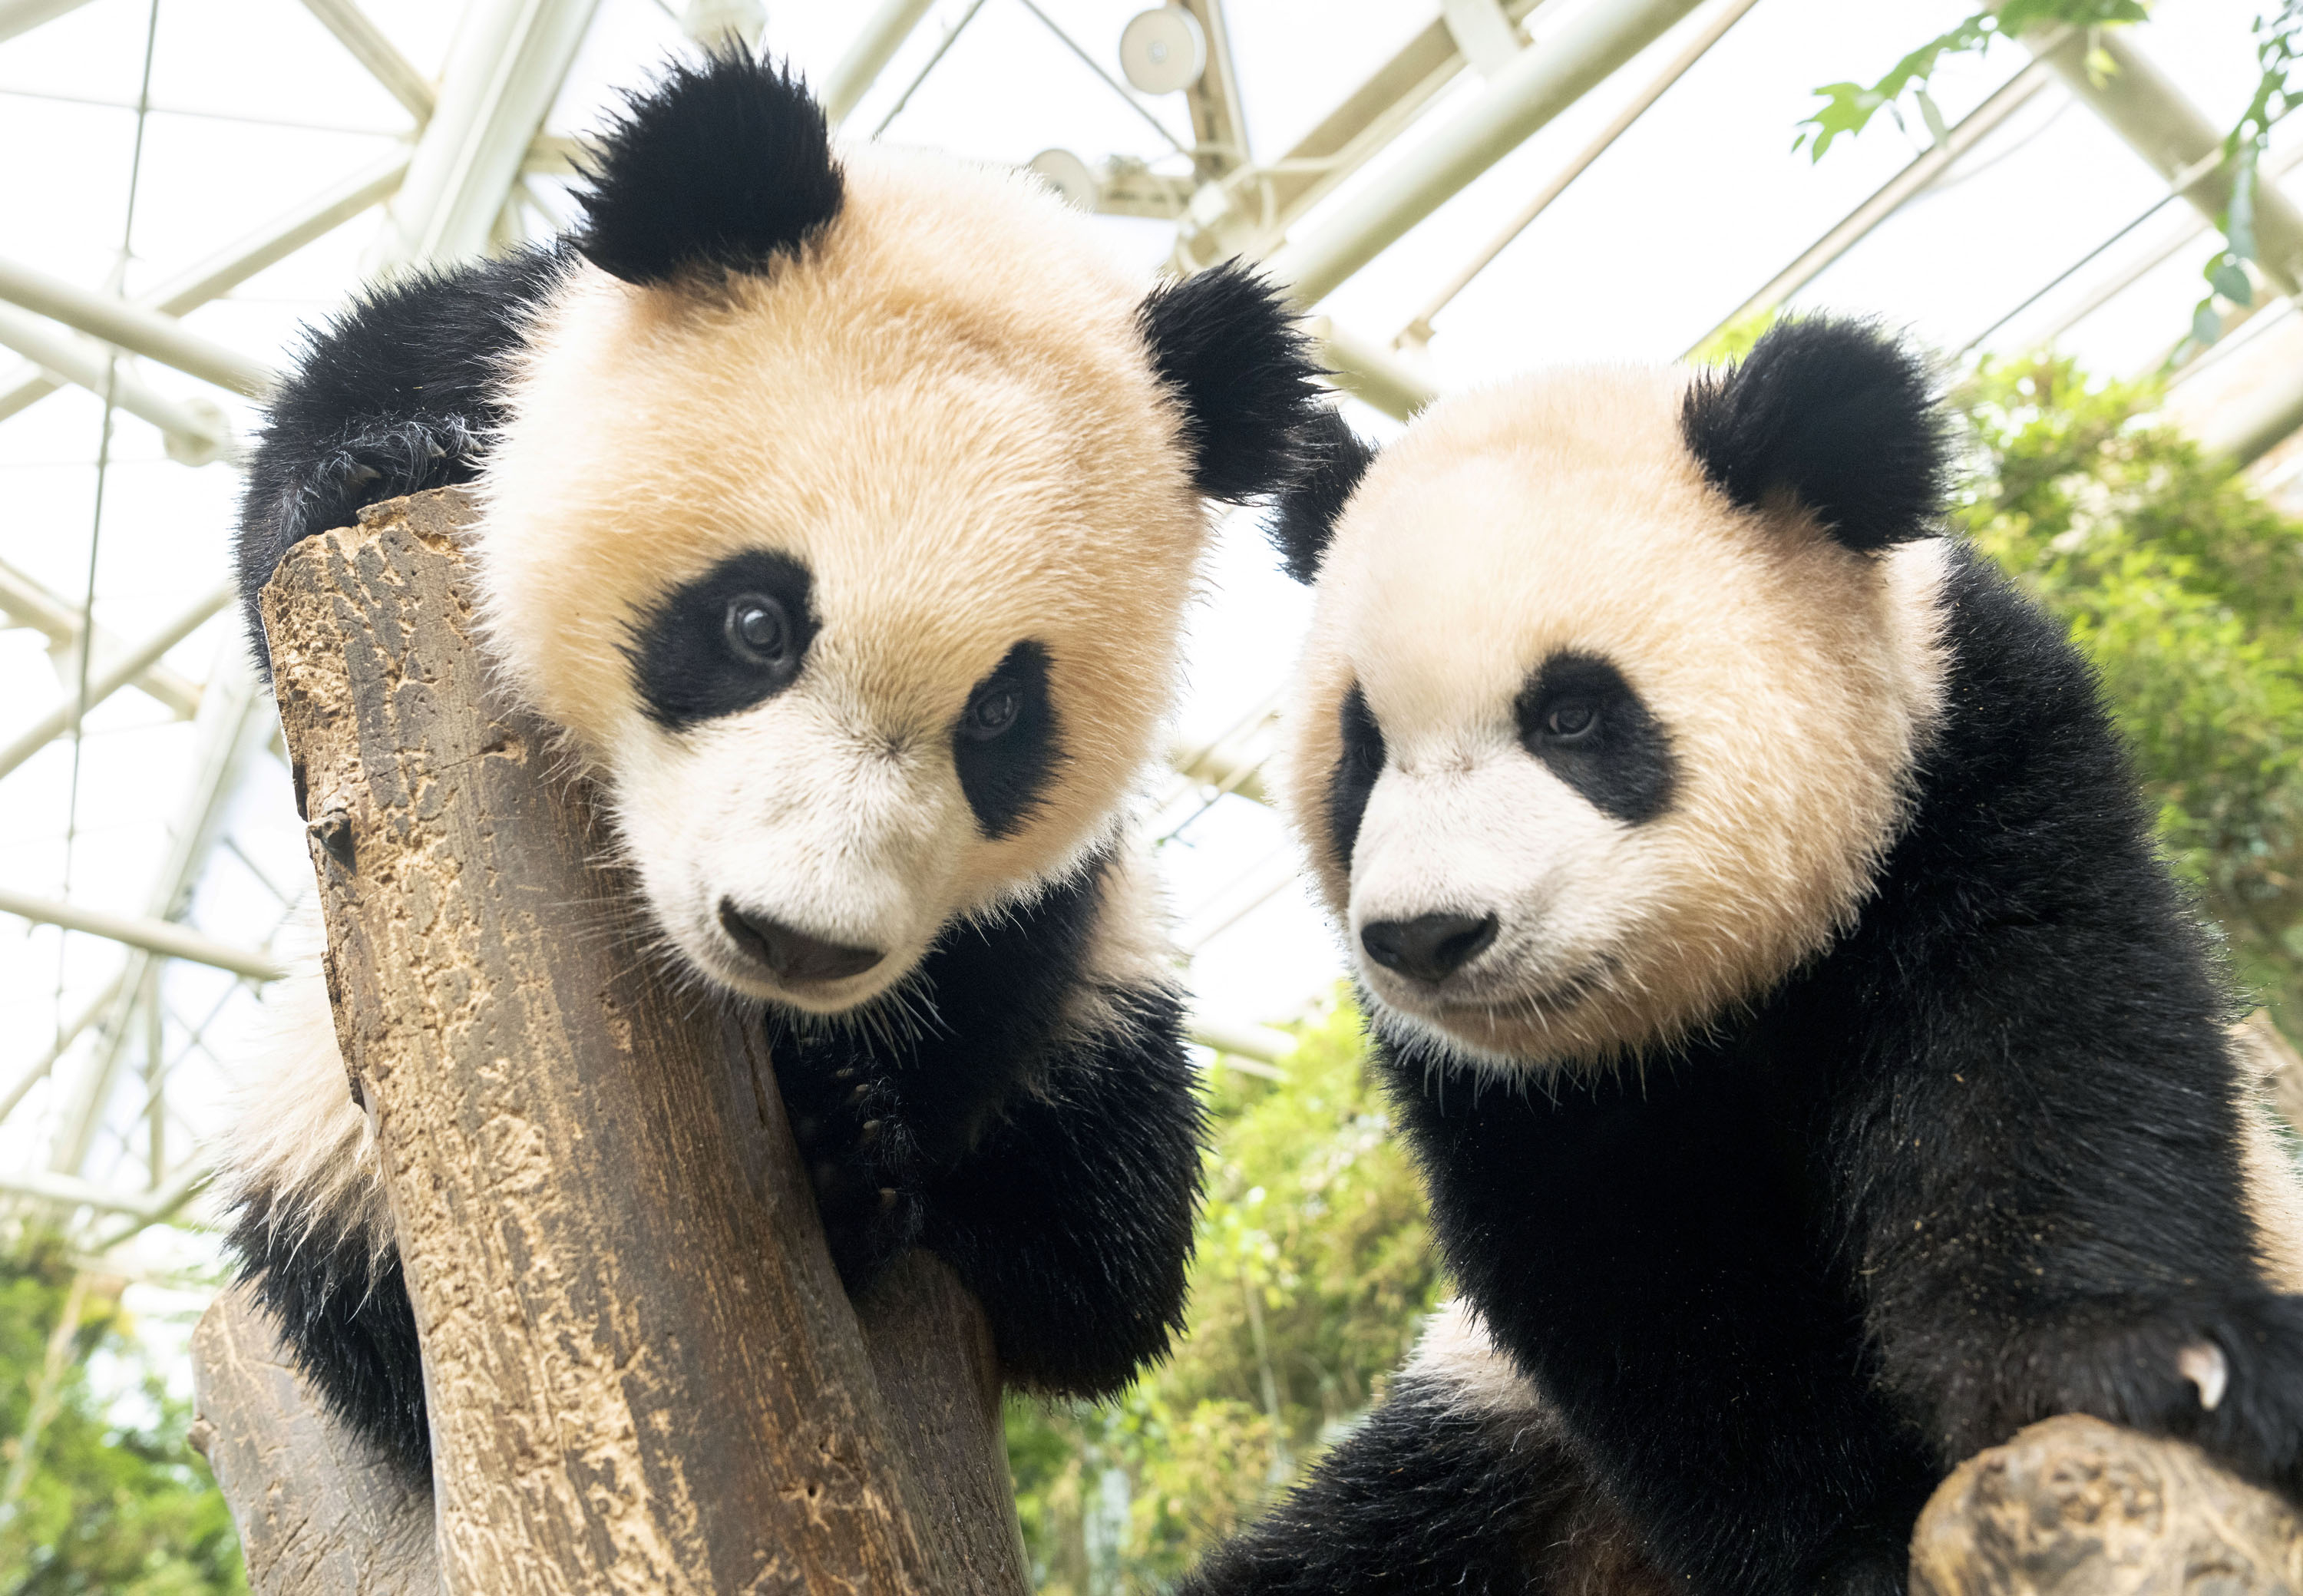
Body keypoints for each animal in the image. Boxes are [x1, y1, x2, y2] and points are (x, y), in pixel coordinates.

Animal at [224, 53, 1327, 1492]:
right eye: (757, 624)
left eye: (1001, 716)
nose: (795, 939)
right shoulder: (506, 335)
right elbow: (320, 453)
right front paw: (385, 464)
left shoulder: (1051, 904)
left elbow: (1001, 969)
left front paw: (847, 1140)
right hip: (318, 1128)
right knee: (343, 1283)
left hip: (1118, 1024)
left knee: (1118, 1196)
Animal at [1179, 316, 2303, 1594]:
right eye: (1360, 752)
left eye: (1571, 715)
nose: (1429, 933)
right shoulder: (1515, 1095)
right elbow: (1656, 1290)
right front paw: (1849, 1549)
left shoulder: (1967, 761)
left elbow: (2033, 1061)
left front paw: (2158, 1367)